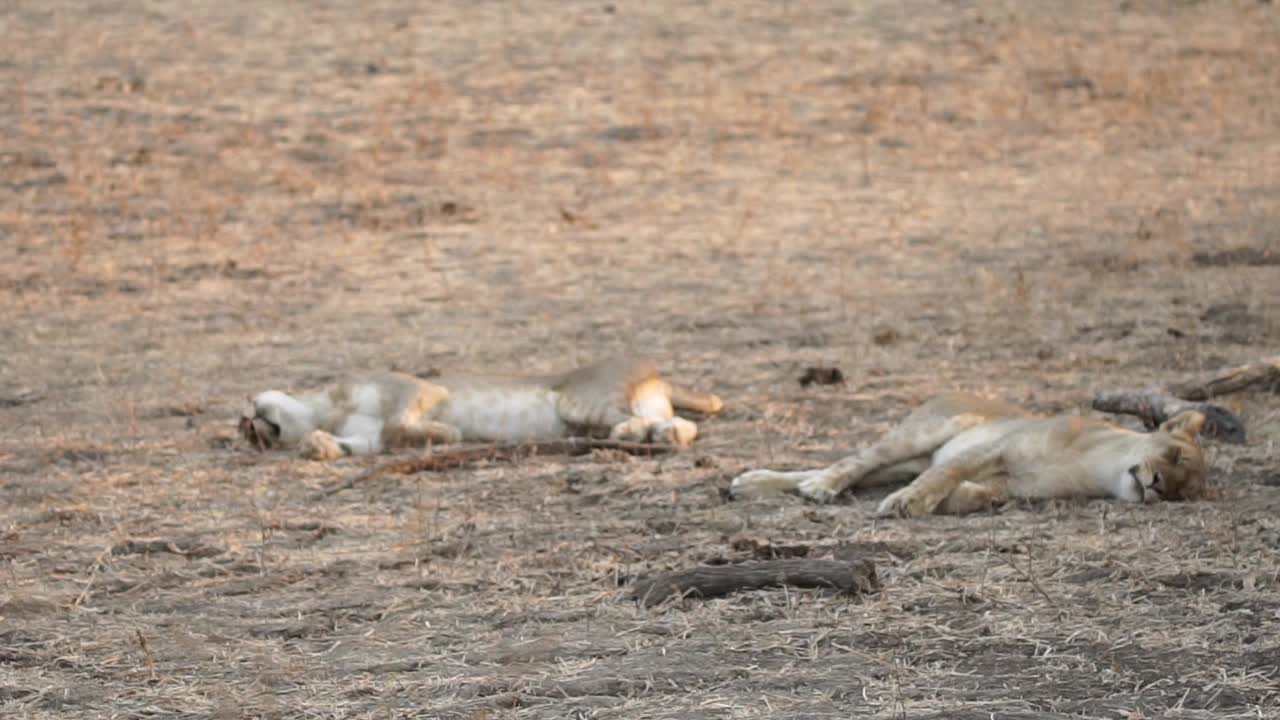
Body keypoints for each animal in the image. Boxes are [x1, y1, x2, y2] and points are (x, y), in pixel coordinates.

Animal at [732, 392, 1208, 515]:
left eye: (1183, 491)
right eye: (1174, 456)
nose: (1159, 487)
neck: (1095, 467)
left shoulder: (1011, 485)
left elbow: (973, 494)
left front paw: (949, 503)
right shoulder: (991, 448)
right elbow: (940, 478)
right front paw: (906, 504)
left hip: (904, 460)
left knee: (845, 470)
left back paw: (753, 484)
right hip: (917, 436)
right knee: (853, 462)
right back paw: (819, 488)